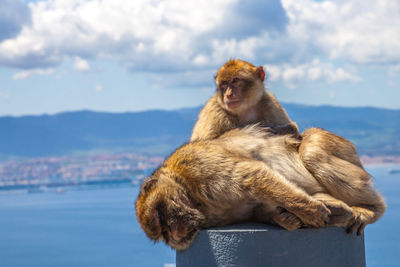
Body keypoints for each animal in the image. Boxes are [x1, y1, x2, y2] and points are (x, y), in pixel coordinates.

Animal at [136, 125, 386, 251]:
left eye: (160, 218)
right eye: (163, 233)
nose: (175, 234)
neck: (190, 194)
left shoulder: (196, 164)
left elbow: (251, 176)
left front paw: (311, 212)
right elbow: (258, 206)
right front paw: (286, 218)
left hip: (333, 143)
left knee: (312, 152)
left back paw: (370, 209)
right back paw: (336, 209)